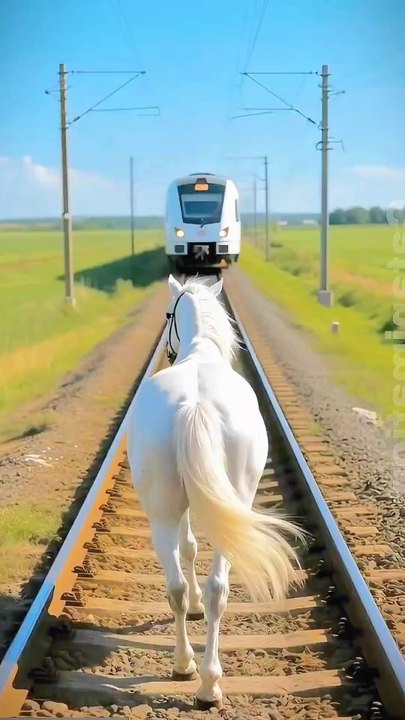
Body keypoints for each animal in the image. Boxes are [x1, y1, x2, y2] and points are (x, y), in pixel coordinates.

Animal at [127, 274, 303, 709]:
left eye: (167, 314)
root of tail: (195, 406)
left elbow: (189, 549)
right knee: (212, 588)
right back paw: (203, 679)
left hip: (165, 513)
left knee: (182, 585)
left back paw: (191, 670)